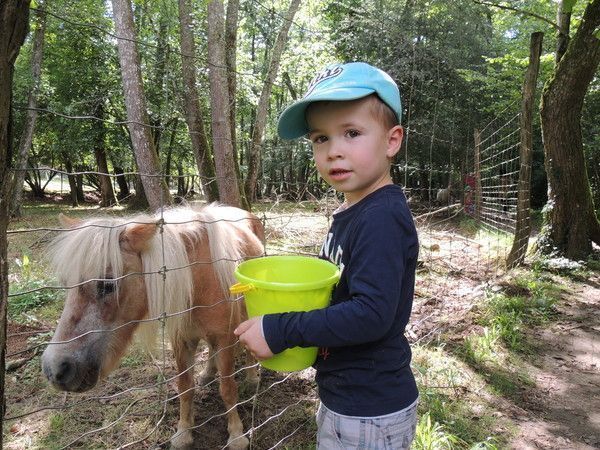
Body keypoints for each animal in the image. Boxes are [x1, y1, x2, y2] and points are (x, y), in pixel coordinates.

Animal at [41, 205, 264, 450]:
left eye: (107, 285)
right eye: (66, 284)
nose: (55, 369)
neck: (198, 281)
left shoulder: (224, 339)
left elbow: (227, 388)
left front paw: (236, 435)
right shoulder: (181, 340)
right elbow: (185, 387)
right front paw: (183, 432)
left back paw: (252, 377)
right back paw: (207, 373)